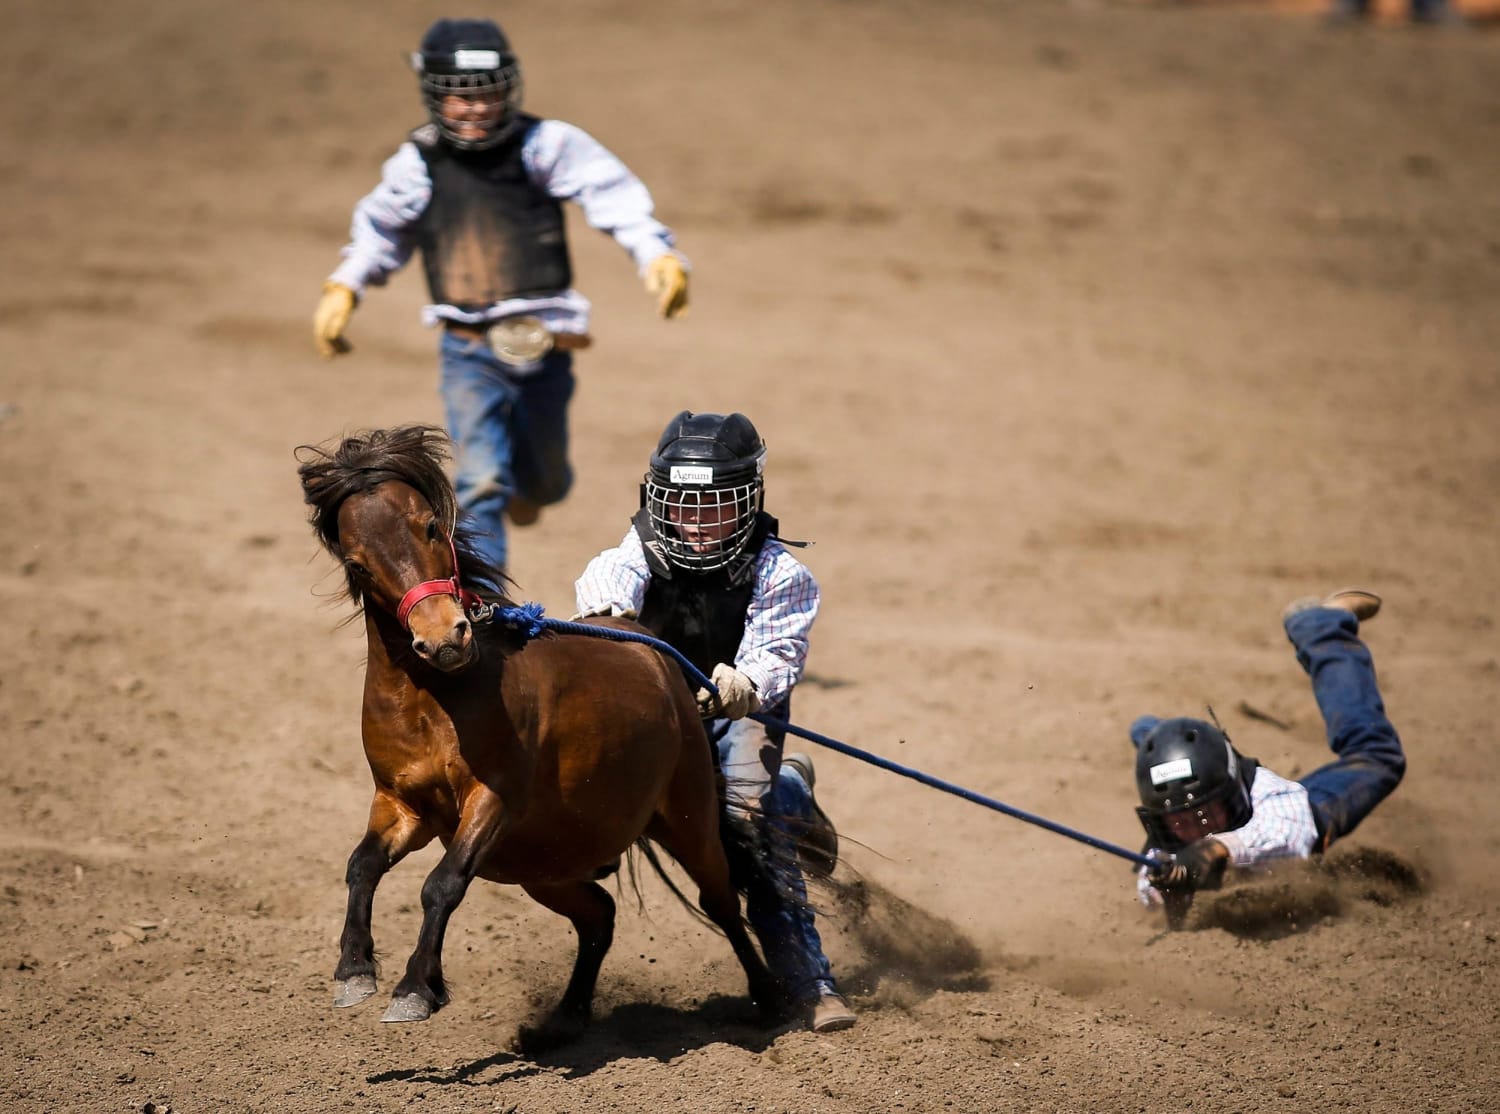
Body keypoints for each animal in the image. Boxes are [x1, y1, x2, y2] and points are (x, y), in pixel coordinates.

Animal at [286, 422, 792, 1049]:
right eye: (357, 564)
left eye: (429, 526)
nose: (444, 637)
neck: (439, 700)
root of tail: (657, 656)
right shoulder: (402, 804)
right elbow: (362, 865)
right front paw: (354, 970)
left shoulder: (493, 800)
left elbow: (441, 885)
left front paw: (415, 988)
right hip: (542, 863)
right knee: (599, 914)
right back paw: (566, 1018)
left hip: (686, 818)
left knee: (720, 902)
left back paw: (770, 999)